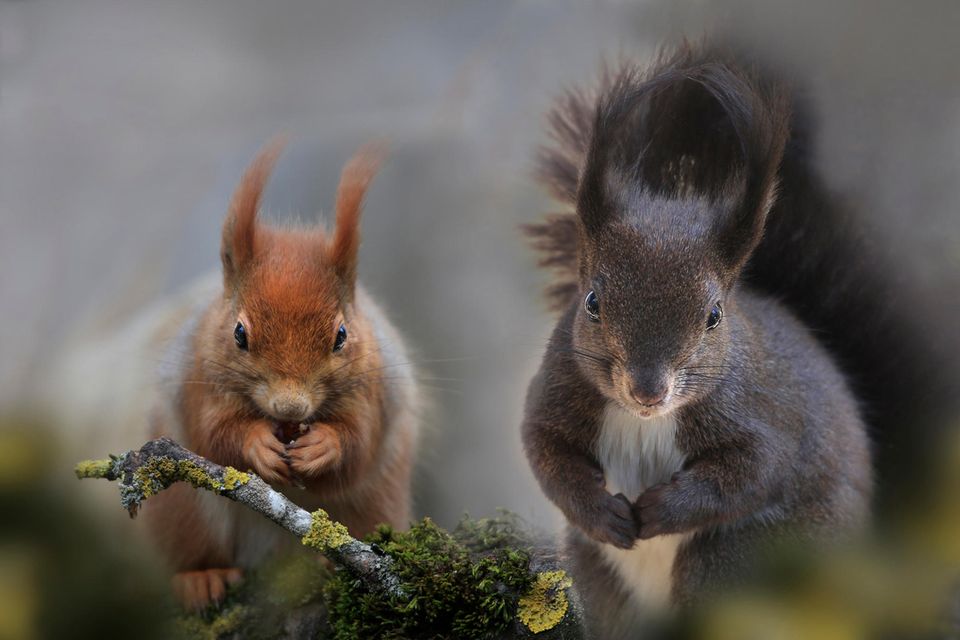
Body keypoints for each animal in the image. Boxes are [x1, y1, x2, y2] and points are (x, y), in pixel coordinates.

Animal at [143, 140, 420, 608]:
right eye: (239, 333)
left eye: (341, 335)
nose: (290, 408)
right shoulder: (198, 381)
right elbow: (214, 434)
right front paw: (256, 444)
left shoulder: (374, 391)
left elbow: (359, 442)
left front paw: (324, 446)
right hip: (183, 512)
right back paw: (201, 578)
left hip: (376, 505)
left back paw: (331, 562)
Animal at [520, 43, 872, 636]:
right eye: (591, 302)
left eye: (714, 315)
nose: (648, 390)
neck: (644, 422)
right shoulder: (555, 390)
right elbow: (546, 454)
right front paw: (603, 512)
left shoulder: (765, 412)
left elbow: (753, 471)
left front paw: (661, 511)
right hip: (599, 578)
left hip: (733, 560)